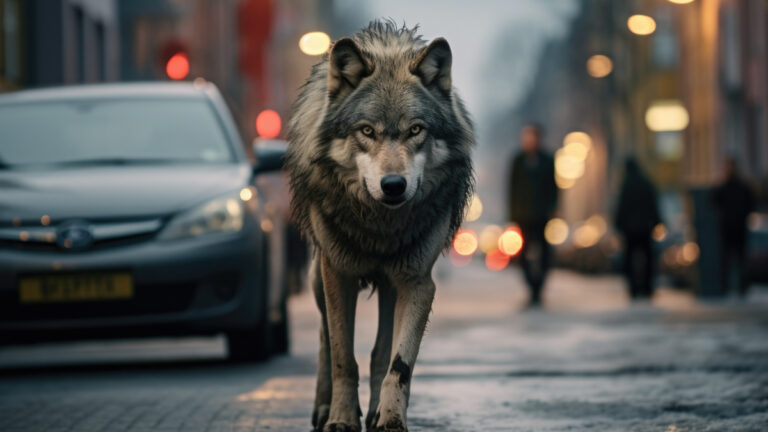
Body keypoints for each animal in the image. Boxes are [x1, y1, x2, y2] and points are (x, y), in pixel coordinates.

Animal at [286, 20, 475, 432]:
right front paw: (341, 419)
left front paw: (389, 419)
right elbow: (343, 357)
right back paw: (322, 407)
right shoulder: (338, 275)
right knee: (324, 338)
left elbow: (398, 364)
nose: (393, 185)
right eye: (367, 131)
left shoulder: (418, 283)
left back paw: (373, 411)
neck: (380, 229)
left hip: (391, 286)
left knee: (379, 352)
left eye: (416, 130)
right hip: (318, 277)